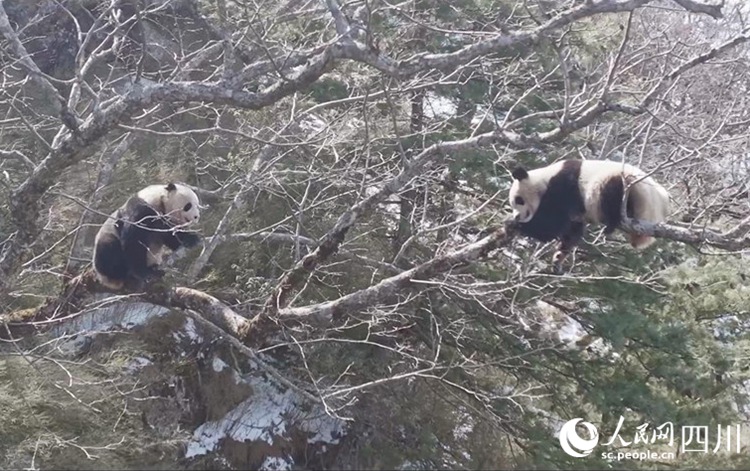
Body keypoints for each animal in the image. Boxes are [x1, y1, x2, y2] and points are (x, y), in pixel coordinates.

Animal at [508, 159, 672, 270]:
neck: (544, 177)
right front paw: (559, 256)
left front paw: (514, 224)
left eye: (519, 200)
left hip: (623, 183)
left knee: (611, 194)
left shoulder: (564, 185)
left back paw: (612, 222)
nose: (517, 216)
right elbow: (572, 230)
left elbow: (550, 224)